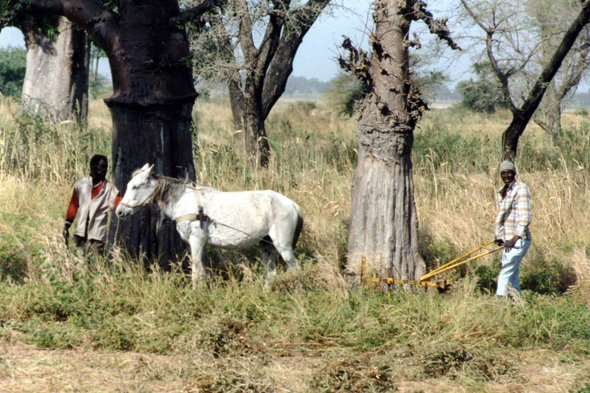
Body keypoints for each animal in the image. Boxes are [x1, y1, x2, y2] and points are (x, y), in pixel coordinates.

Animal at [116, 163, 306, 288]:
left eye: (135, 187)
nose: (119, 211)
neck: (185, 202)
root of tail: (292, 204)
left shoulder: (197, 240)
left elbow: (196, 269)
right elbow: (201, 269)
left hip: (283, 245)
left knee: (295, 269)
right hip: (266, 245)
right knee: (271, 273)